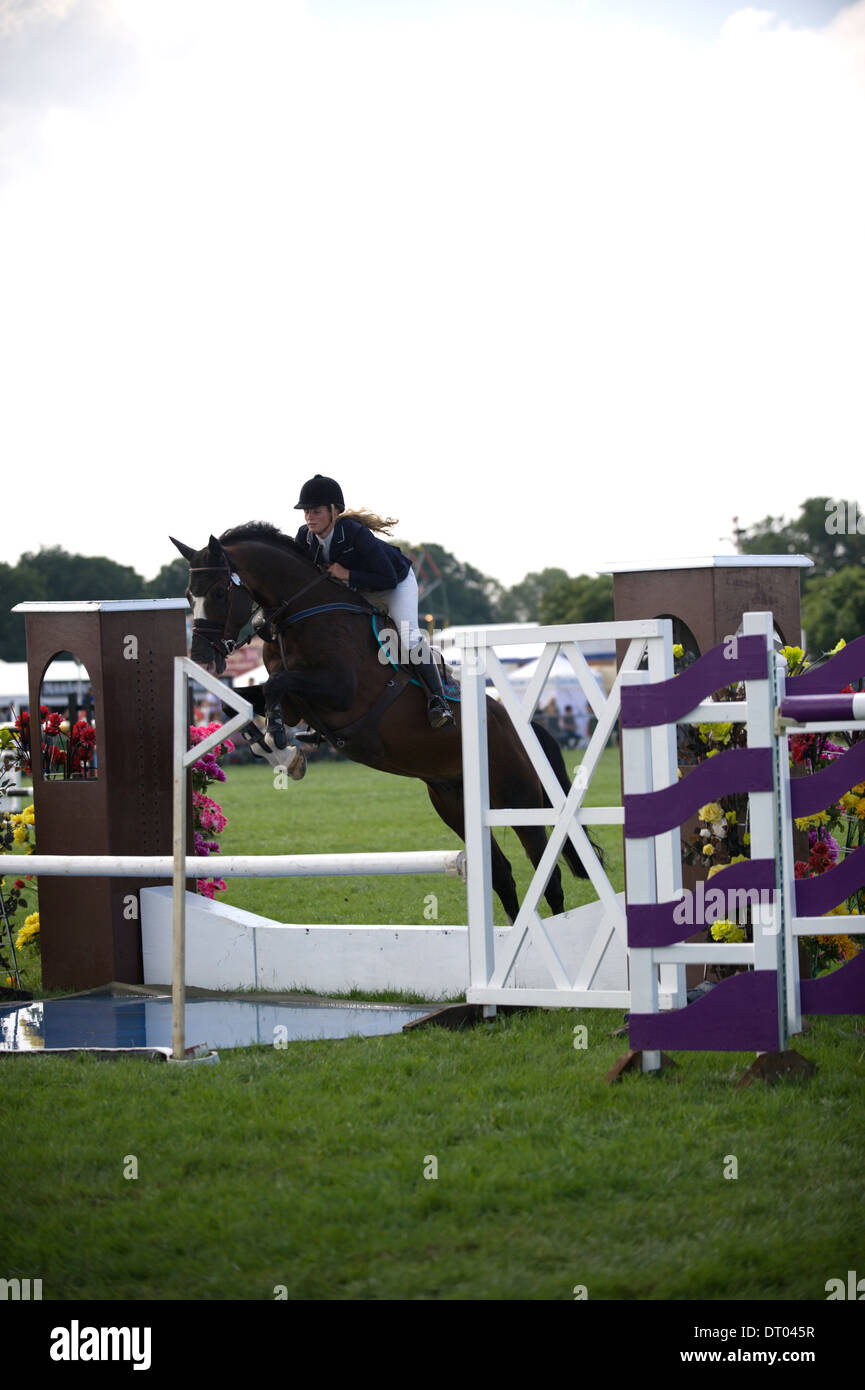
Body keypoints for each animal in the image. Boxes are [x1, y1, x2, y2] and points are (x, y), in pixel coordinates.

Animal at [170, 523, 601, 923]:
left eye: (220, 593)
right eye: (189, 596)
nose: (202, 655)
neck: (304, 613)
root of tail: (518, 725)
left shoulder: (339, 691)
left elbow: (275, 687)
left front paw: (281, 744)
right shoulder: (297, 701)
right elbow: (240, 704)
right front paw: (278, 751)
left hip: (518, 798)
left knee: (549, 874)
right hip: (455, 802)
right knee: (502, 875)